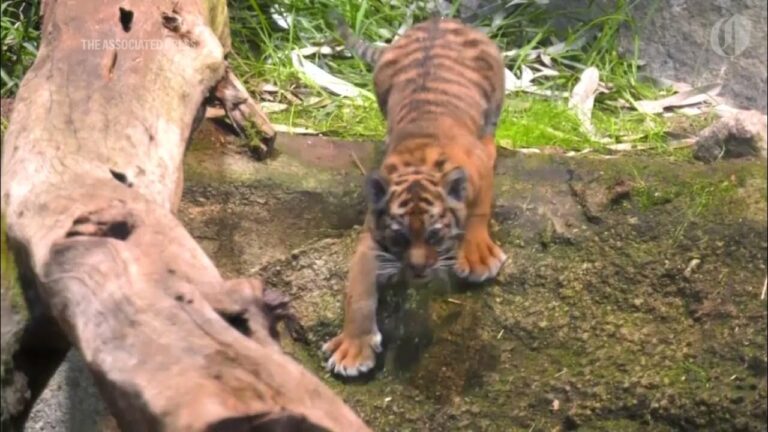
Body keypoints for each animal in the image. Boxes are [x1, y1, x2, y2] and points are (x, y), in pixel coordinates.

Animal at [322, 12, 508, 377]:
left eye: (435, 235)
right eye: (400, 238)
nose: (419, 270)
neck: (418, 164)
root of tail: (438, 19)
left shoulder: (477, 171)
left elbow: (478, 210)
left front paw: (477, 256)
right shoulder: (372, 235)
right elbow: (358, 291)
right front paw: (354, 348)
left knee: (490, 131)